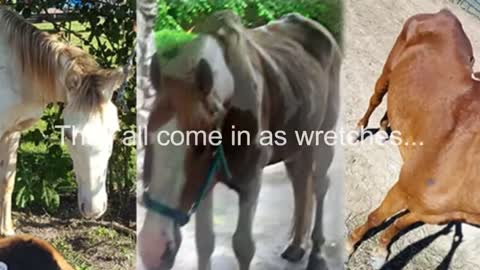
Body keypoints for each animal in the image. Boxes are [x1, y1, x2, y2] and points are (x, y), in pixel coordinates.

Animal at [138, 10, 342, 270]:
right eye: (146, 138)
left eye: (201, 146)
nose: (153, 248)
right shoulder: (206, 182)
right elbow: (205, 242)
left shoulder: (251, 182)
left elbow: (243, 246)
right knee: (300, 182)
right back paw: (297, 245)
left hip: (325, 135)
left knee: (319, 185)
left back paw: (317, 253)